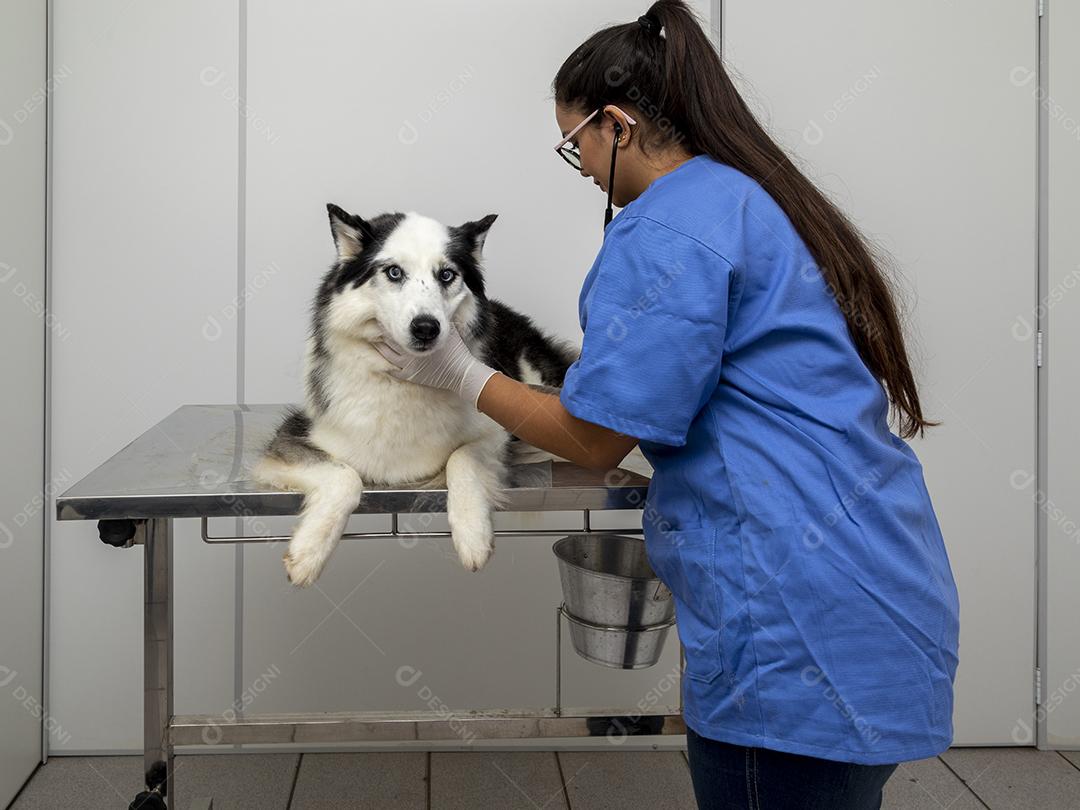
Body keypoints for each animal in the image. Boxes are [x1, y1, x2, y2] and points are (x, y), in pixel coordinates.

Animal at [250, 206, 583, 587]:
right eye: (394, 272)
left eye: (446, 275)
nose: (426, 328)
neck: (401, 384)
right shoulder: (294, 438)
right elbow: (345, 476)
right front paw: (309, 552)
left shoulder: (496, 431)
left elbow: (462, 458)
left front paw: (473, 536)